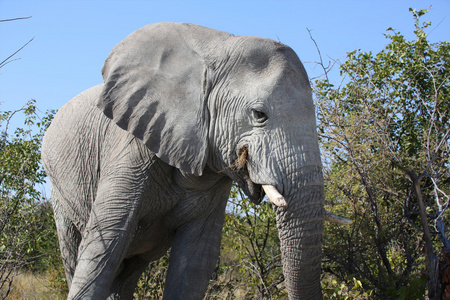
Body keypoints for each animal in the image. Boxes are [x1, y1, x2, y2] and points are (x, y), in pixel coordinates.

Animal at [42, 22, 350, 298]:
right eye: (259, 114)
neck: (217, 48)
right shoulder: (131, 147)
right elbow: (105, 242)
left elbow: (196, 260)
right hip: (60, 193)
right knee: (77, 253)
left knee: (126, 274)